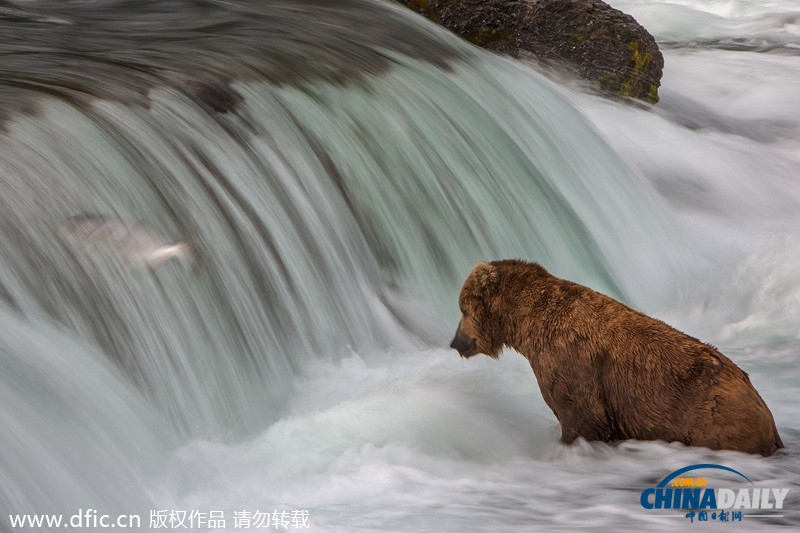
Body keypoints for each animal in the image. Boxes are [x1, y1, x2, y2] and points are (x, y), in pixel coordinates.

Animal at [454, 260, 784, 456]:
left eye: (463, 309)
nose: (455, 342)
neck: (529, 326)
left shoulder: (572, 364)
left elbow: (584, 418)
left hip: (712, 420)